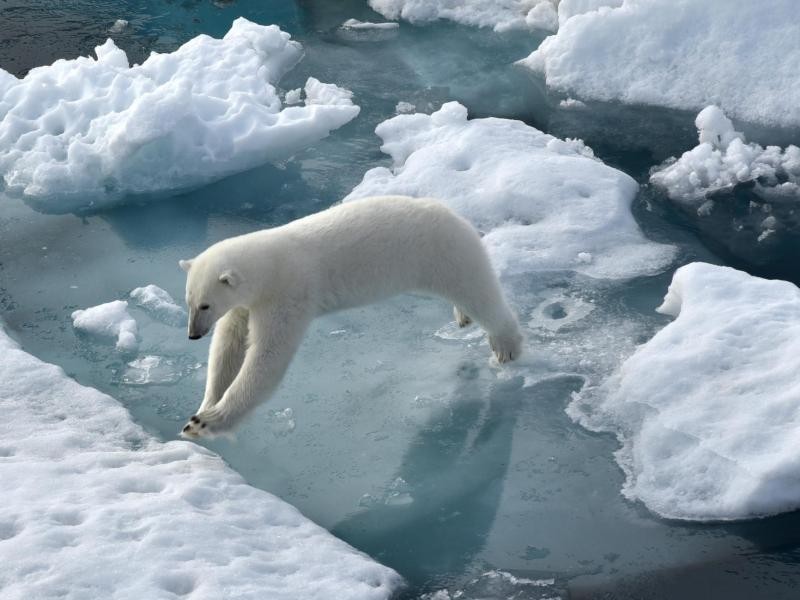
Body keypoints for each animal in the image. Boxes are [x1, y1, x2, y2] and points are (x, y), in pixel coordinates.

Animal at [178, 197, 520, 436]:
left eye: (205, 305)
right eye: (189, 302)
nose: (193, 335)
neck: (270, 263)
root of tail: (458, 217)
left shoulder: (288, 295)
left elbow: (267, 357)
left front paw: (207, 422)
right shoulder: (246, 304)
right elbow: (229, 346)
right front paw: (203, 406)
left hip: (444, 255)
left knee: (478, 293)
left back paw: (506, 347)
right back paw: (463, 317)